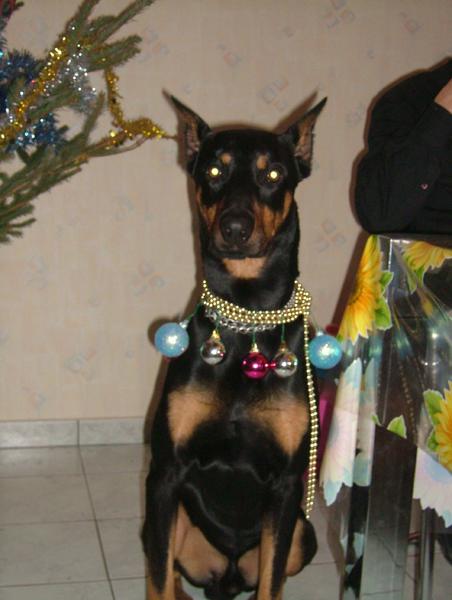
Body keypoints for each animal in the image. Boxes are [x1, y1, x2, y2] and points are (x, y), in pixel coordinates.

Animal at [142, 95, 327, 600]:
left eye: (273, 173)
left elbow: (271, 582)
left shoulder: (286, 487)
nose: (236, 228)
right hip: (170, 520)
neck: (247, 324)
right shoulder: (166, 473)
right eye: (214, 170)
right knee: (165, 572)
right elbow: (158, 578)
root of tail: (224, 578)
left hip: (304, 533)